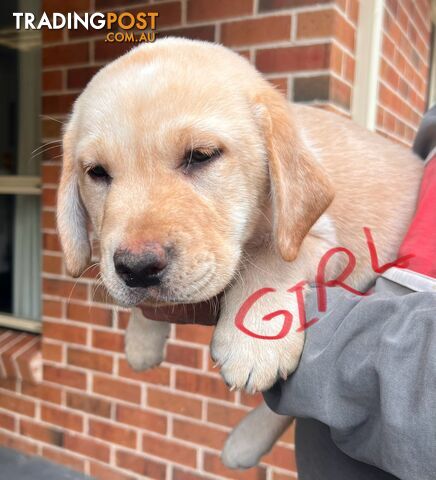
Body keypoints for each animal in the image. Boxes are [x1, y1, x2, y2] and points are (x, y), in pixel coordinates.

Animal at [57, 38, 422, 468]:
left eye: (201, 155)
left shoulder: (324, 240)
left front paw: (253, 342)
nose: (137, 269)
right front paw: (142, 340)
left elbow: (271, 260)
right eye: (97, 172)